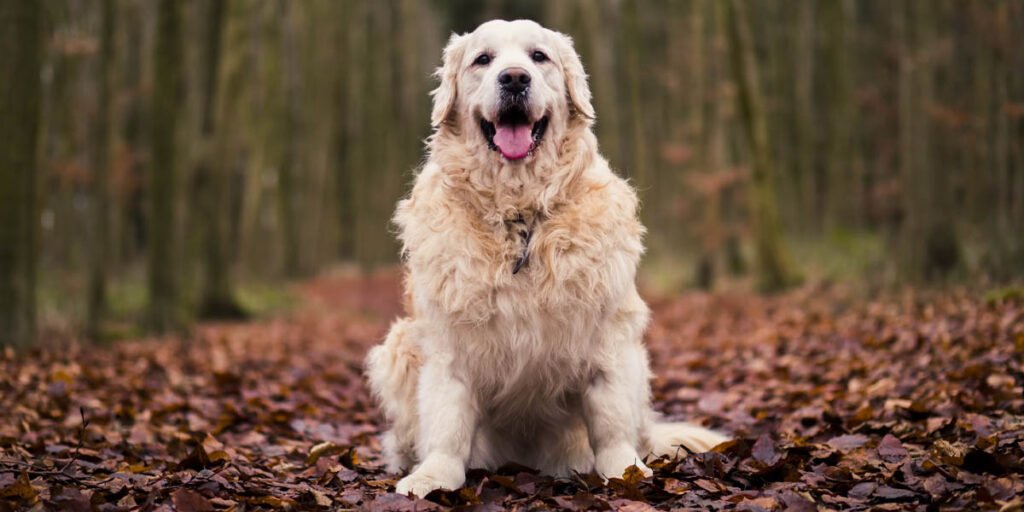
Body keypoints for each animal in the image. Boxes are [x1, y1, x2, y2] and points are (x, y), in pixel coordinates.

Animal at [364, 18, 724, 495]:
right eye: (482, 59)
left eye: (539, 56)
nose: (515, 78)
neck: (519, 214)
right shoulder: (447, 345)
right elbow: (447, 423)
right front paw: (432, 476)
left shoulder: (609, 338)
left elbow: (610, 420)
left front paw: (624, 471)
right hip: (398, 344)